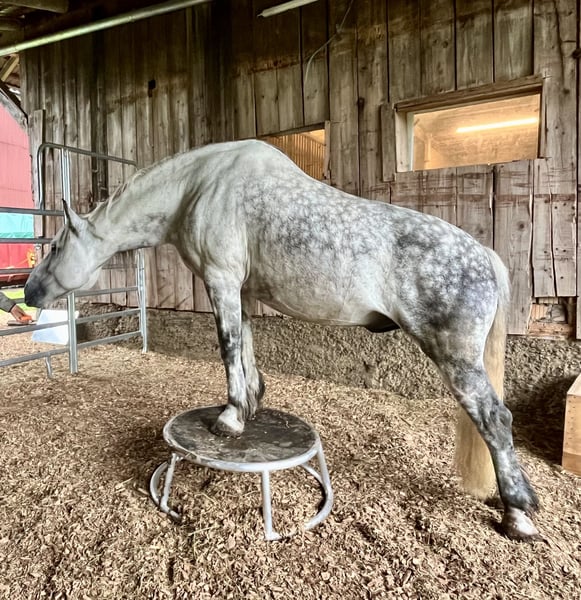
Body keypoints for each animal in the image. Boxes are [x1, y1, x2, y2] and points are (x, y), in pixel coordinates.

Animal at [24, 139, 539, 541]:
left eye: (56, 245)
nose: (29, 291)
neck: (197, 187)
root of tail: (484, 254)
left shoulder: (221, 280)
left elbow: (229, 346)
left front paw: (231, 419)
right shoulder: (240, 290)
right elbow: (247, 349)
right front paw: (249, 404)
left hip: (456, 358)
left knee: (495, 419)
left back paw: (518, 515)